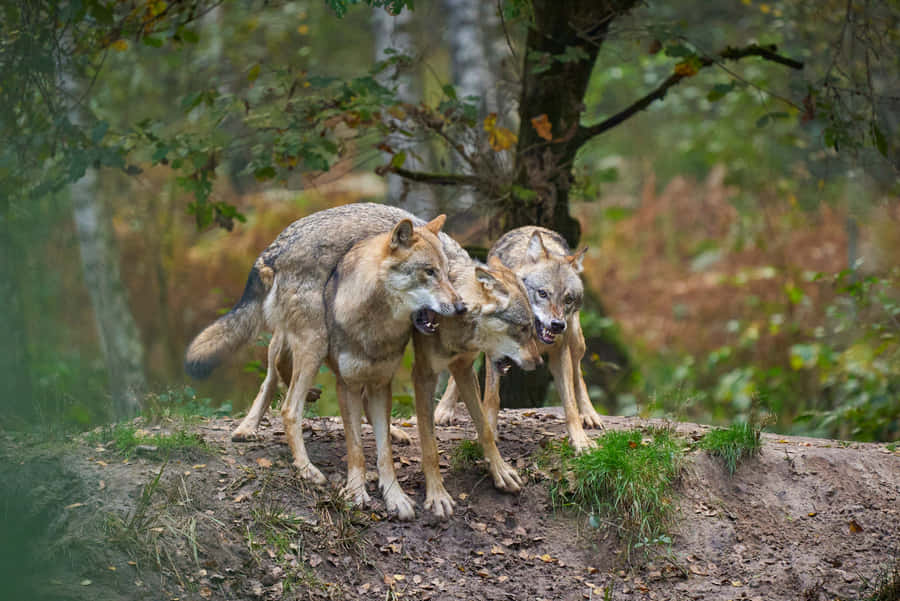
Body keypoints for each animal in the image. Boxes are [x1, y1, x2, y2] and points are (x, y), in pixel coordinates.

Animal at [185, 203, 464, 518]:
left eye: (447, 274)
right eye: (429, 272)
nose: (460, 307)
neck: (376, 322)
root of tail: (270, 253)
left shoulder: (381, 383)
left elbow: (385, 454)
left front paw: (395, 496)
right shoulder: (346, 384)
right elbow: (356, 450)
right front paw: (356, 493)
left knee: (275, 375)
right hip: (314, 341)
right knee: (288, 406)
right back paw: (305, 467)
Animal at [228, 218, 541, 520]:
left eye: (532, 328)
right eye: (523, 329)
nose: (538, 363)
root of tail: (275, 252)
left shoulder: (462, 369)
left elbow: (484, 427)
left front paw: (500, 471)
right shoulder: (421, 376)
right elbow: (426, 447)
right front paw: (436, 497)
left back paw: (393, 432)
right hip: (312, 346)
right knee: (281, 395)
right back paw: (263, 438)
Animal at [434, 226, 603, 453]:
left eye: (568, 299)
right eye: (542, 293)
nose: (557, 325)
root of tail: (531, 228)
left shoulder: (560, 352)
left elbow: (569, 403)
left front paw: (580, 440)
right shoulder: (494, 352)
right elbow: (492, 398)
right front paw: (489, 433)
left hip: (575, 340)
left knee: (578, 375)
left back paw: (590, 414)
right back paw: (444, 409)